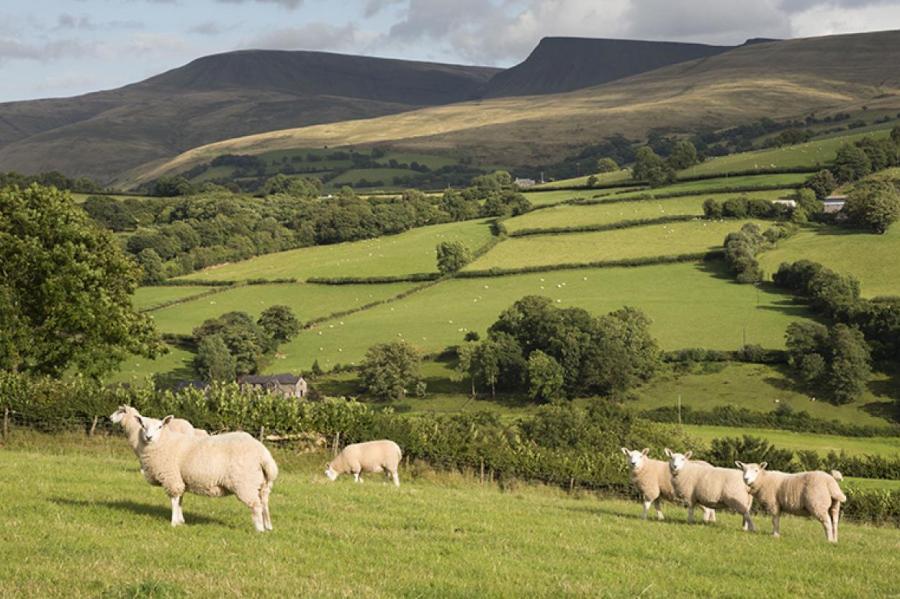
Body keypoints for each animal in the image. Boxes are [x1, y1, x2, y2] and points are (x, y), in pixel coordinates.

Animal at [134, 414, 278, 532]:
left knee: (256, 505)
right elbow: (180, 500)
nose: (148, 437)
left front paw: (174, 522)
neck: (165, 442)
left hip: (245, 483)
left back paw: (259, 529)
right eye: (143, 426)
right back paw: (268, 526)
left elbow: (174, 500)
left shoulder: (171, 478)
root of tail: (263, 454)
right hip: (263, 483)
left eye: (160, 427)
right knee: (264, 503)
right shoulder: (181, 479)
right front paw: (181, 521)